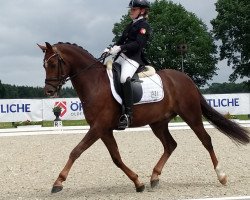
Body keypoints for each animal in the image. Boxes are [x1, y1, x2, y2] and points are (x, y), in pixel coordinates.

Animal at [37, 42, 250, 194]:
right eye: (44, 65)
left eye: (53, 64)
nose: (49, 92)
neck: (94, 83)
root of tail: (186, 78)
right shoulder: (104, 130)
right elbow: (116, 158)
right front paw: (138, 182)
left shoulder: (98, 127)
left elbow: (76, 151)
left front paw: (58, 182)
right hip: (158, 122)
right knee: (170, 145)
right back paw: (154, 177)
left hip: (191, 115)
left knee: (206, 140)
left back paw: (221, 176)